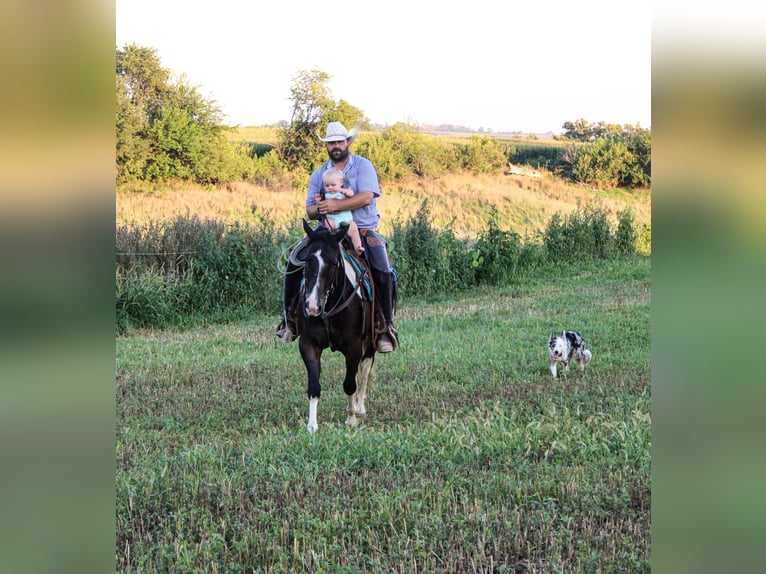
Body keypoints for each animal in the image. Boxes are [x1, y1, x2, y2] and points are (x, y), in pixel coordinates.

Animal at [296, 218, 376, 434]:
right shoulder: (308, 344)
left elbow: (350, 383)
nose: (312, 306)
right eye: (307, 260)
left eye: (333, 263)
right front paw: (312, 426)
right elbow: (314, 386)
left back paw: (360, 409)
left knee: (365, 370)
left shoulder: (354, 346)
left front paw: (352, 418)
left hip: (372, 340)